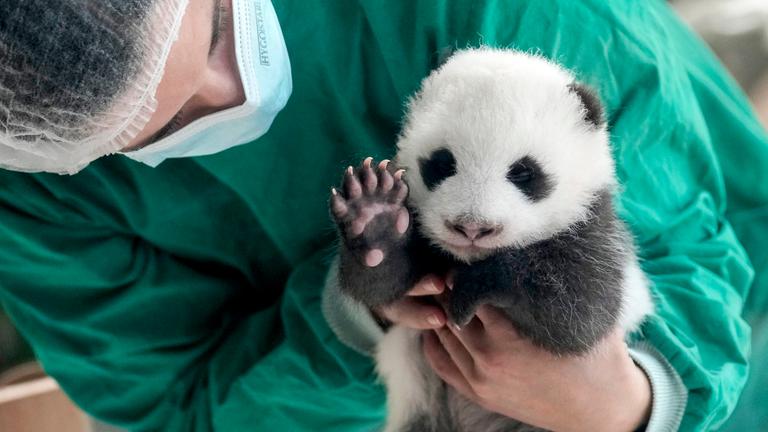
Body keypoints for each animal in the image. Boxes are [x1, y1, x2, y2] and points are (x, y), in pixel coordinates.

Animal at [329, 48, 654, 432]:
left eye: (523, 172)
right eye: (442, 163)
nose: (471, 228)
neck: (467, 258)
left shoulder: (596, 229)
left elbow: (580, 313)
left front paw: (480, 284)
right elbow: (383, 285)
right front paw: (375, 222)